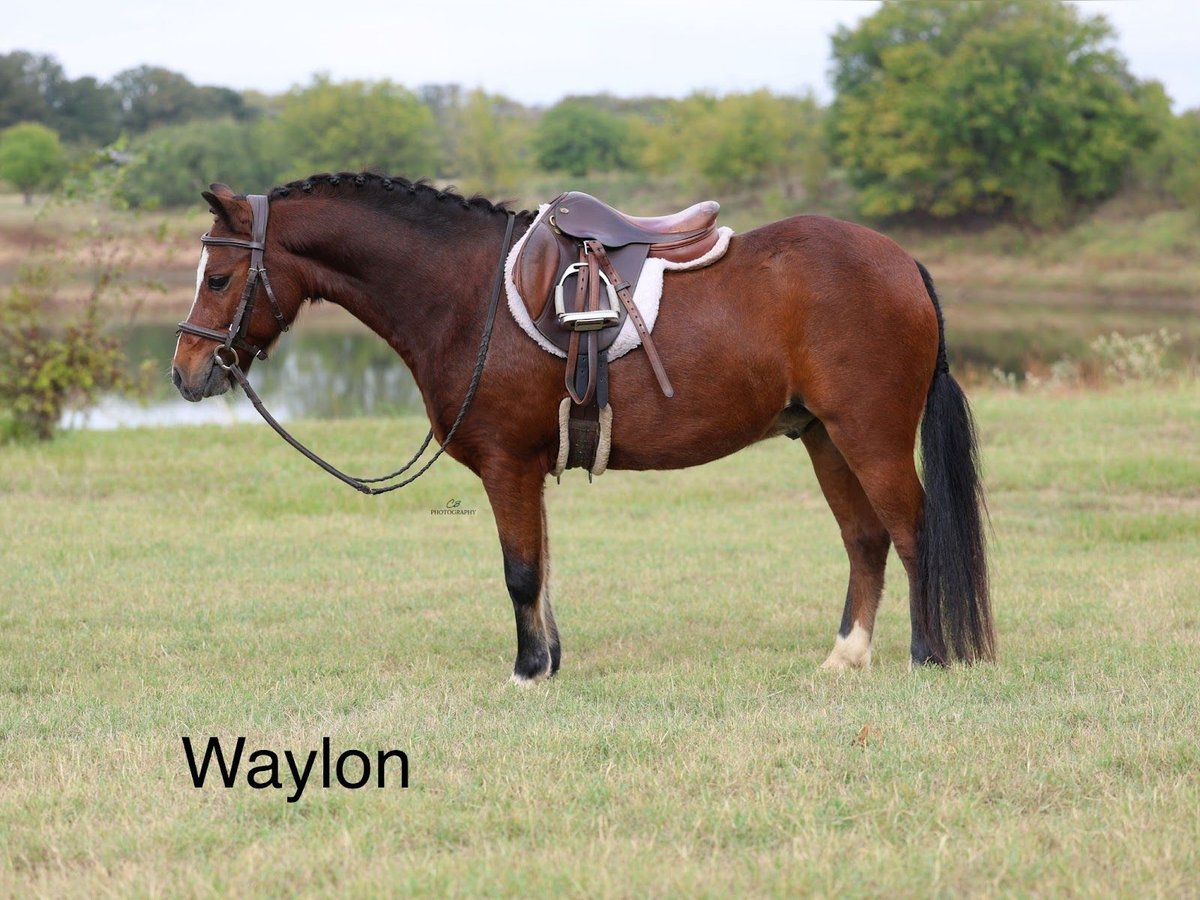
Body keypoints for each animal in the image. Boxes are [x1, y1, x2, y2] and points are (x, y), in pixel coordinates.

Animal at [172, 173, 994, 683]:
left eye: (218, 277)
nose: (186, 371)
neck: (467, 293)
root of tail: (903, 263)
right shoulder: (528, 468)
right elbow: (541, 568)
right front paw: (550, 660)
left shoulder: (506, 464)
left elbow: (520, 572)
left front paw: (527, 671)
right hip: (824, 436)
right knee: (866, 538)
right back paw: (846, 658)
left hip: (870, 435)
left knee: (914, 531)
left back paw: (928, 655)